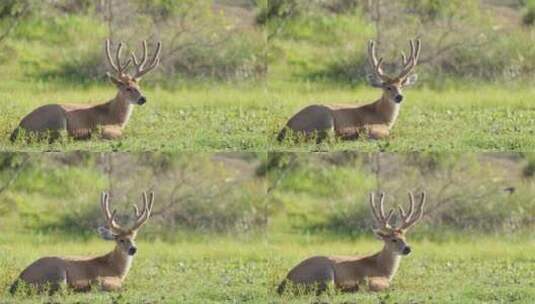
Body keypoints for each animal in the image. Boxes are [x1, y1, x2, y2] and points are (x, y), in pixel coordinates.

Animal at [9, 39, 161, 142]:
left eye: (139, 87)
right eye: (128, 88)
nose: (143, 98)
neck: (113, 115)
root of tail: (17, 129)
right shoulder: (104, 126)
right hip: (57, 119)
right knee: (59, 137)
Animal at [9, 192, 155, 294]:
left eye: (134, 238)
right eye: (120, 239)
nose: (133, 249)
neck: (114, 267)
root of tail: (17, 282)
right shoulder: (107, 278)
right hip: (57, 273)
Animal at [276, 39, 422, 143]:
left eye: (401, 86)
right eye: (388, 87)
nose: (399, 97)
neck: (380, 115)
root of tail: (284, 131)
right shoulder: (375, 126)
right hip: (324, 118)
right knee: (328, 138)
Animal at [276, 191, 428, 294]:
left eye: (405, 238)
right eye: (393, 239)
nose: (407, 248)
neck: (381, 266)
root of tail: (285, 282)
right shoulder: (375, 277)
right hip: (324, 271)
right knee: (328, 289)